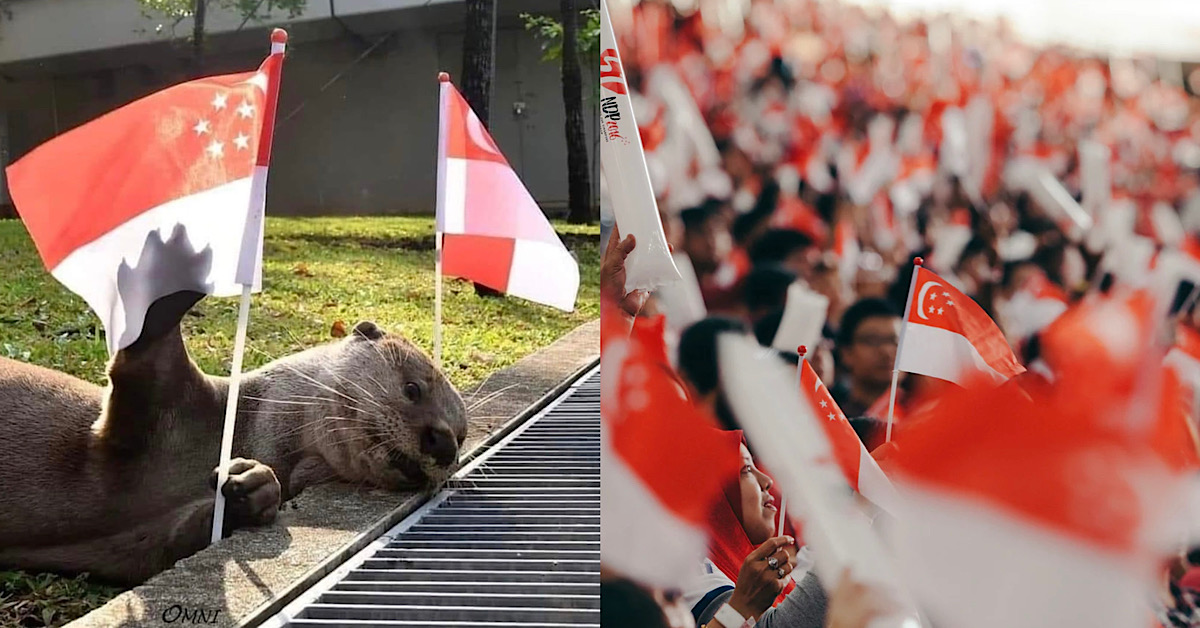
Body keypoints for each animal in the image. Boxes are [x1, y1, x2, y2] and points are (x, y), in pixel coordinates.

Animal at [0, 317, 467, 585]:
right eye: (412, 388)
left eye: (462, 437)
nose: (444, 442)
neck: (239, 426)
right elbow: (151, 365)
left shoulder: (141, 542)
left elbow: (177, 542)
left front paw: (252, 485)